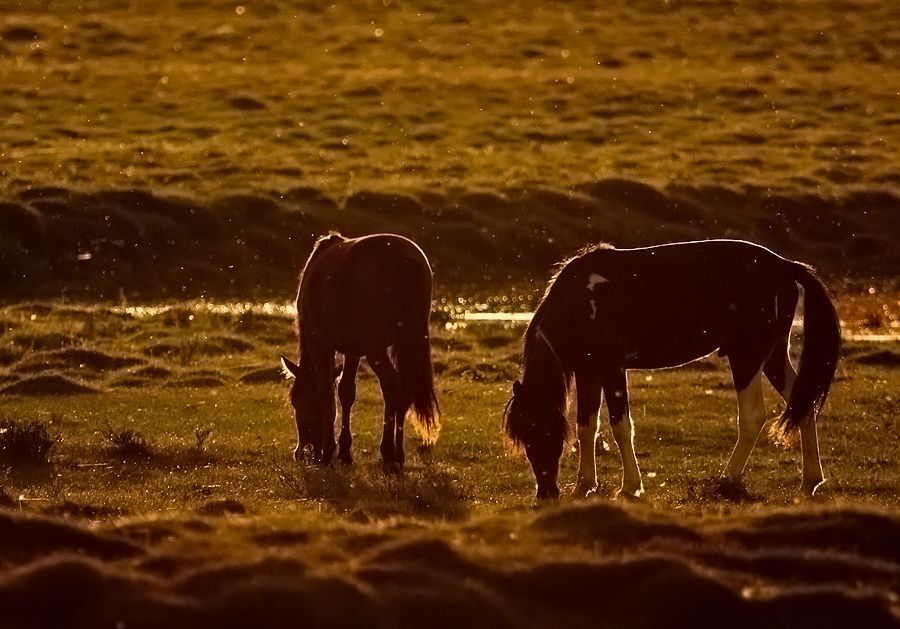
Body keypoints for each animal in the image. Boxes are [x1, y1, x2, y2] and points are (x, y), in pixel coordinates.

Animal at [280, 232, 440, 471]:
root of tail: (406, 261)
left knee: (391, 385)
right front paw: (344, 452)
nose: (302, 452)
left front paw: (327, 453)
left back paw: (389, 453)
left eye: (295, 400)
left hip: (375, 348)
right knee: (402, 390)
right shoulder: (352, 350)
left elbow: (325, 392)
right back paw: (398, 455)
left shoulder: (317, 341)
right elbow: (346, 392)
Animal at [504, 239, 840, 500]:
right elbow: (587, 427)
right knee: (802, 403)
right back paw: (810, 481)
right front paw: (584, 486)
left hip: (746, 358)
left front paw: (630, 487)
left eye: (541, 430)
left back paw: (726, 481)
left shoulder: (612, 369)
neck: (579, 302)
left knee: (753, 417)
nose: (546, 492)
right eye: (524, 436)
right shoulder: (589, 373)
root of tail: (784, 265)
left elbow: (620, 427)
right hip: (772, 356)